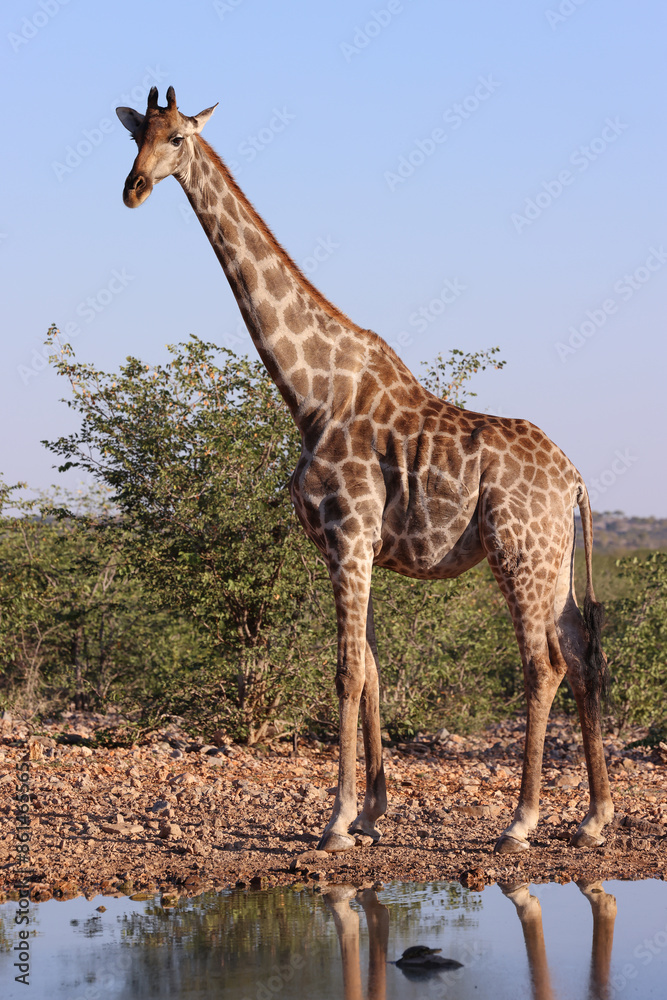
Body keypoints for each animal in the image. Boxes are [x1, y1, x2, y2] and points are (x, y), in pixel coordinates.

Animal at [116, 87, 614, 855]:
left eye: (176, 139)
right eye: (135, 135)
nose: (133, 189)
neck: (311, 393)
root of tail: (576, 479)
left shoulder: (349, 534)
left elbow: (347, 672)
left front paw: (335, 823)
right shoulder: (346, 546)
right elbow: (373, 668)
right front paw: (372, 812)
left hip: (517, 549)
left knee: (544, 664)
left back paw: (521, 822)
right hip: (553, 556)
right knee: (582, 658)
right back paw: (593, 817)